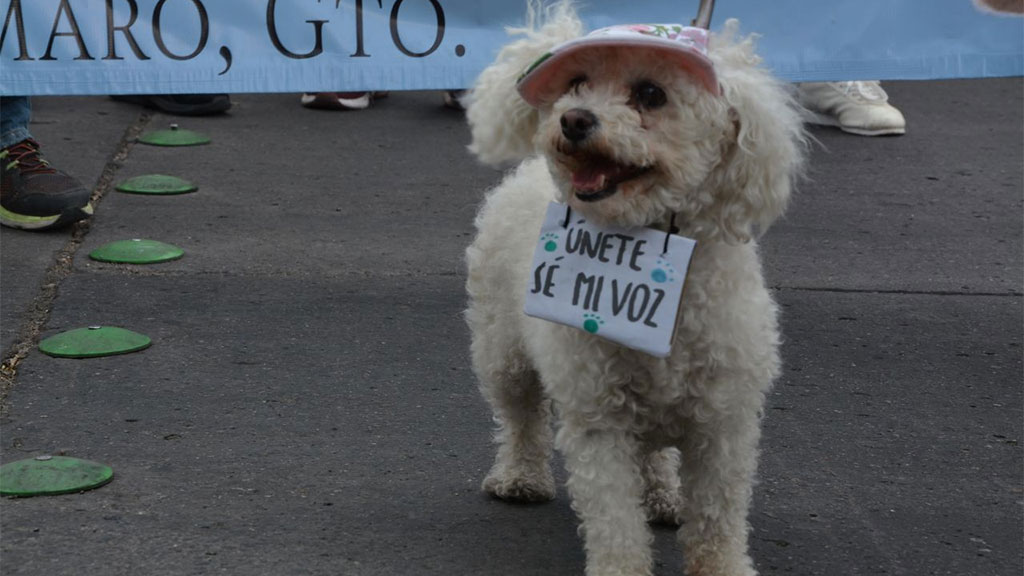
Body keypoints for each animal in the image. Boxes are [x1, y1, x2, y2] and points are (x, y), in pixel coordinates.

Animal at [464, 2, 806, 569]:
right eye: (577, 82)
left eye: (651, 93)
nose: (573, 118)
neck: (647, 234)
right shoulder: (598, 417)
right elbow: (614, 519)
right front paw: (619, 566)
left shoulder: (725, 422)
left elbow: (718, 515)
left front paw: (722, 565)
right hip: (502, 349)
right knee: (520, 416)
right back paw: (520, 476)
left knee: (656, 450)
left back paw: (664, 494)